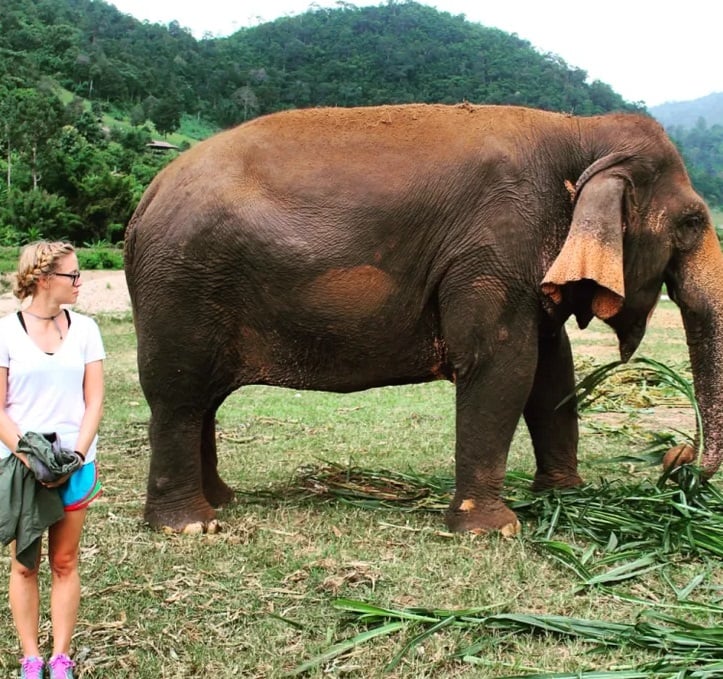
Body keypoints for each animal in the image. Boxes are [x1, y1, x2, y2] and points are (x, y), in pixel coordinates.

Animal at [124, 103, 723, 536]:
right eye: (693, 221)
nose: (676, 459)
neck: (580, 132)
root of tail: (147, 196)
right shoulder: (492, 250)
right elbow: (502, 366)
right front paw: (492, 532)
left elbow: (552, 373)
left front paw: (563, 495)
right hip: (181, 285)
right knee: (179, 395)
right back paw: (190, 526)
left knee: (202, 399)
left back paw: (221, 502)